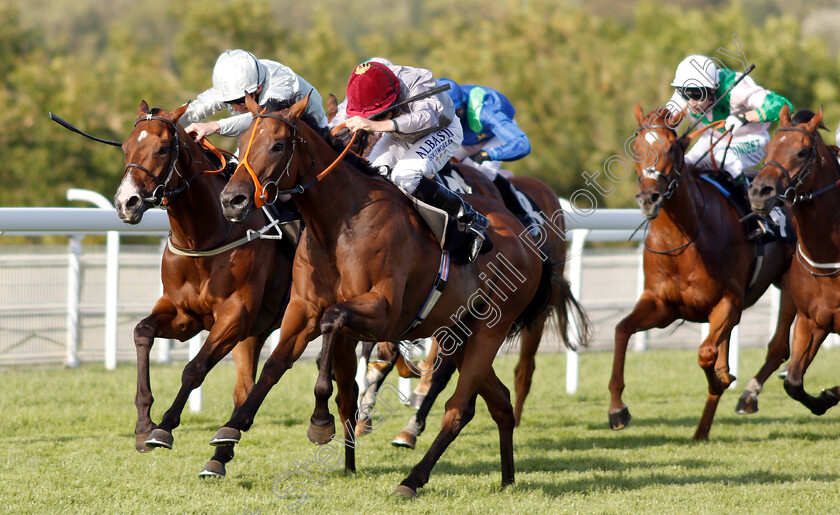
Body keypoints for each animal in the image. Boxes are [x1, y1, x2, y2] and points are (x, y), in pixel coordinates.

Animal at [114, 101, 298, 480]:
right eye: (125, 146)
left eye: (163, 148)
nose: (127, 202)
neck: (205, 235)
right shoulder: (185, 316)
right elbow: (142, 332)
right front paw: (143, 425)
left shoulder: (233, 315)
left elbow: (194, 368)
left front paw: (163, 428)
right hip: (255, 333)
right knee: (244, 389)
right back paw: (221, 453)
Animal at [208, 94, 556, 498]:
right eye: (241, 140)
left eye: (278, 145)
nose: (231, 200)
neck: (338, 223)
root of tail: (527, 236)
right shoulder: (302, 310)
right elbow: (273, 368)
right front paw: (227, 436)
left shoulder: (383, 313)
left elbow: (333, 323)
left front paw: (320, 422)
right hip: (458, 332)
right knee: (497, 402)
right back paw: (507, 478)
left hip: (489, 330)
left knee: (458, 409)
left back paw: (412, 479)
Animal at [612, 105, 796, 440]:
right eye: (637, 147)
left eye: (672, 148)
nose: (649, 198)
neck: (682, 241)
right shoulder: (662, 305)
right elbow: (622, 330)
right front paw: (617, 409)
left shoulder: (727, 302)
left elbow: (706, 354)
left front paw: (721, 381)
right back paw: (703, 428)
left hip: (792, 281)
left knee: (778, 347)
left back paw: (747, 396)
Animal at [748, 105, 840, 416]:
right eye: (768, 147)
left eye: (802, 152)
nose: (759, 191)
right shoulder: (811, 320)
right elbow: (793, 382)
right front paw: (826, 398)